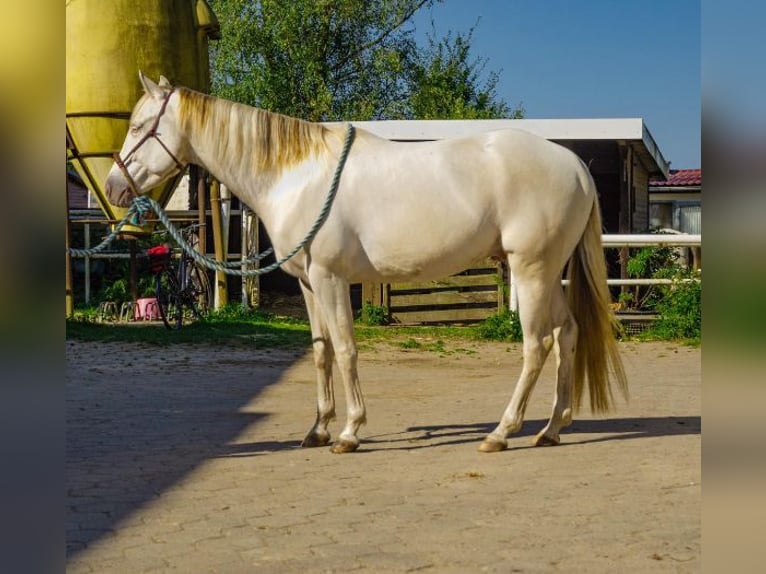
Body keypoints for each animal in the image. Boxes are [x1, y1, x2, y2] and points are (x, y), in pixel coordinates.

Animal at [105, 74, 628, 454]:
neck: (299, 175)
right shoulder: (310, 285)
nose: (113, 187)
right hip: (548, 273)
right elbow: (321, 352)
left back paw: (502, 432)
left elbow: (347, 350)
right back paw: (551, 428)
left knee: (538, 345)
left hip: (532, 271)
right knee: (567, 334)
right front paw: (318, 428)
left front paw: (350, 432)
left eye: (139, 126)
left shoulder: (331, 279)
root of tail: (574, 165)